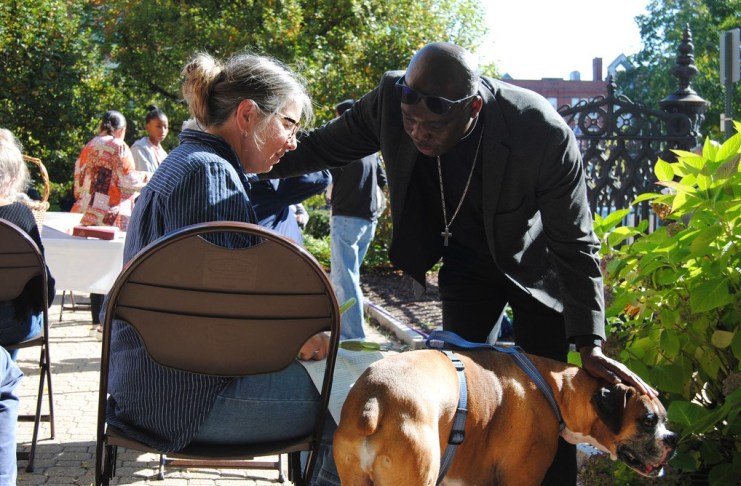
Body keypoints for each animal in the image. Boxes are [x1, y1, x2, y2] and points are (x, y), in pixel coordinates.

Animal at [336, 350, 676, 486]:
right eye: (648, 420)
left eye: (665, 419)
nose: (672, 439)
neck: (557, 389)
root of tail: (375, 399)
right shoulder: (521, 479)